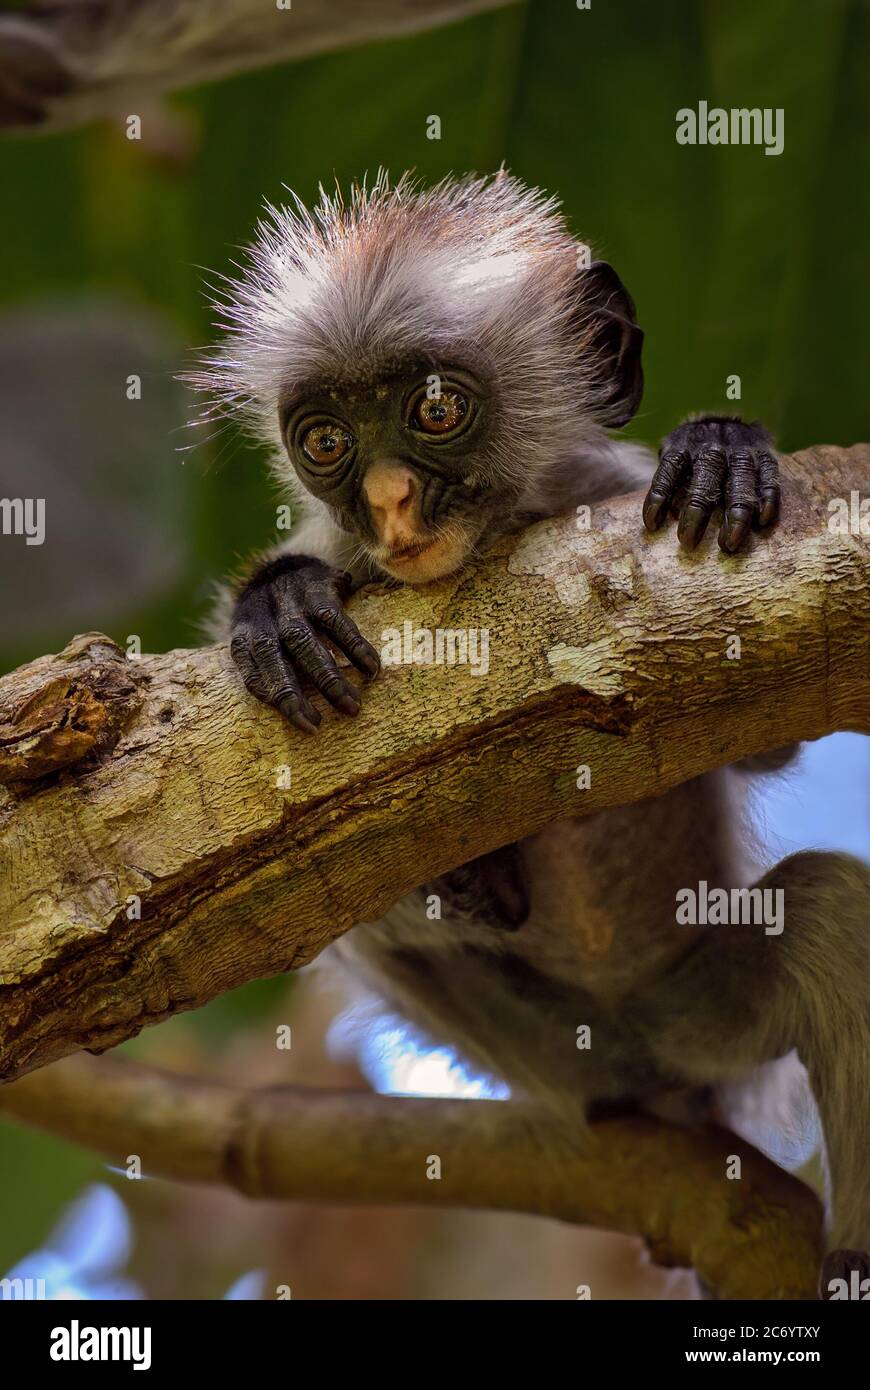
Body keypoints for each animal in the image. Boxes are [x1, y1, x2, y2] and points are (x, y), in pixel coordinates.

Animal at [193, 170, 867, 1289]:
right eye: (326, 441)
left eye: (434, 410)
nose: (389, 500)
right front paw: (277, 600)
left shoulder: (614, 493)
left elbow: (766, 736)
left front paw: (721, 447)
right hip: (540, 1044)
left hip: (700, 1013)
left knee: (828, 917)